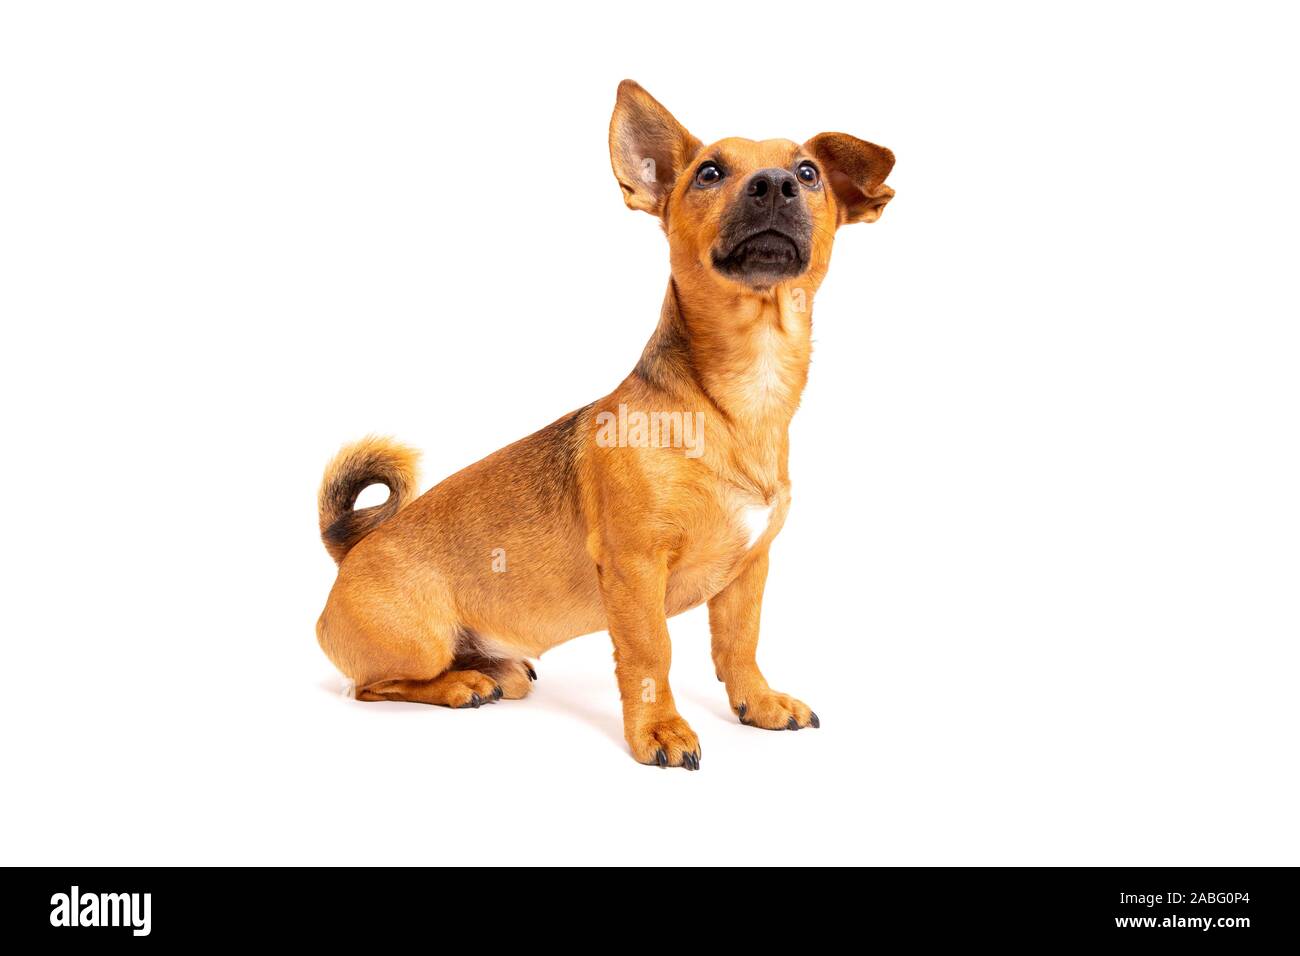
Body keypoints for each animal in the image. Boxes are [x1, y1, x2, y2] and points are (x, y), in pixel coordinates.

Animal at [314, 82, 894, 770]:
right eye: (709, 173)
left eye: (807, 174)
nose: (775, 184)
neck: (738, 397)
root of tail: (350, 550)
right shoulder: (635, 569)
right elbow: (650, 655)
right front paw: (660, 729)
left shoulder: (749, 572)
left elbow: (738, 644)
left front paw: (758, 702)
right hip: (418, 642)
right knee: (369, 687)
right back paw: (460, 685)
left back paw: (493, 670)